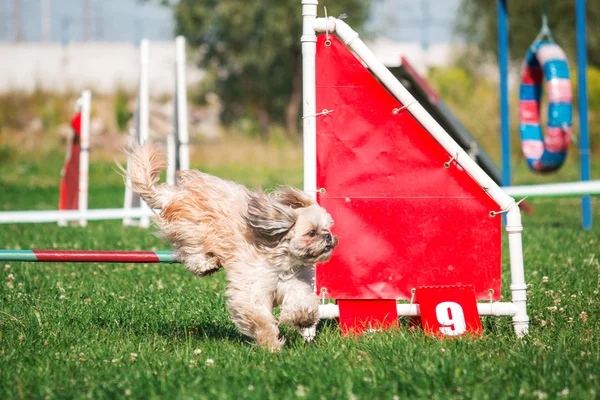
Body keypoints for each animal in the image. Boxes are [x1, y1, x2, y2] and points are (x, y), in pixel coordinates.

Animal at [123, 144, 338, 350]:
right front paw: (271, 344)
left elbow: (300, 302)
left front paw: (304, 320)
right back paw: (207, 265)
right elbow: (259, 318)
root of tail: (174, 195)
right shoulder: (251, 287)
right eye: (311, 233)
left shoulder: (294, 283)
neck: (282, 258)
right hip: (194, 229)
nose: (328, 237)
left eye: (327, 228)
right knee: (192, 252)